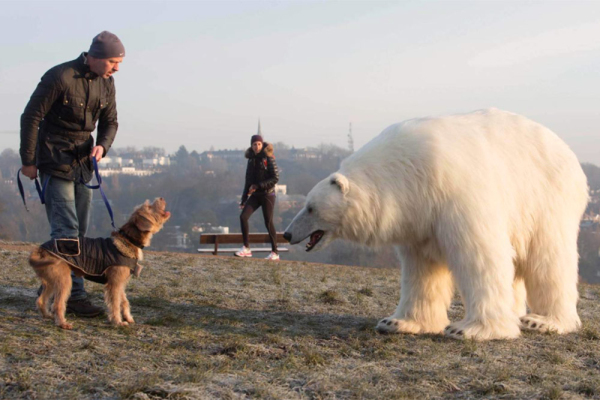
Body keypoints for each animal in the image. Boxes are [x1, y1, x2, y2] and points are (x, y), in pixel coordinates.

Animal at [29, 197, 171, 328]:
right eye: (149, 207)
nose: (161, 198)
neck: (129, 240)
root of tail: (40, 250)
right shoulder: (114, 284)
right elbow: (115, 304)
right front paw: (118, 322)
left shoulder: (120, 282)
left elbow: (124, 301)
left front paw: (128, 317)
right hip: (64, 280)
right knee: (57, 304)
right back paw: (62, 323)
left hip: (51, 281)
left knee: (41, 300)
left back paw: (47, 315)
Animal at [284, 108, 588, 340]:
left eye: (310, 207)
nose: (287, 234)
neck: (406, 174)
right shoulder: (419, 218)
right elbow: (423, 270)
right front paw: (397, 322)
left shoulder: (455, 193)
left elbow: (481, 256)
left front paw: (470, 329)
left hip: (546, 197)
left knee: (548, 258)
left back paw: (543, 320)